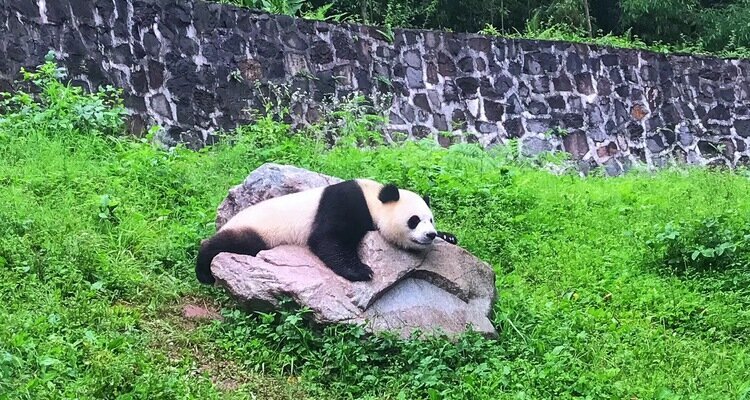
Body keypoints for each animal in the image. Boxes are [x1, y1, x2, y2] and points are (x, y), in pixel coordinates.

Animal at [196, 179, 457, 284]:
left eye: (431, 220)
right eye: (414, 220)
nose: (430, 235)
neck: (373, 198)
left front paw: (448, 236)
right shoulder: (345, 203)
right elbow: (327, 239)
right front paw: (361, 271)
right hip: (258, 230)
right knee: (229, 243)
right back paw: (204, 272)